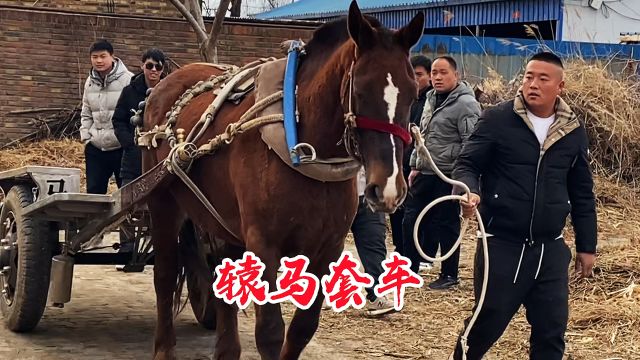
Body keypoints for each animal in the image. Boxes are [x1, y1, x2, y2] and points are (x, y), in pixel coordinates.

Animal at [143, 1, 428, 358]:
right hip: (162, 202)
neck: (303, 146)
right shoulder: (264, 243)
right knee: (165, 277)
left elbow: (303, 328)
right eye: (361, 90)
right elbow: (270, 332)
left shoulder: (328, 247)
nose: (387, 188)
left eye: (414, 93)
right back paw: (164, 347)